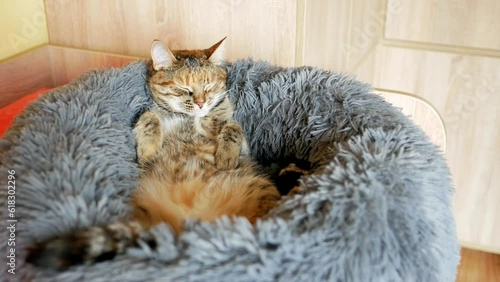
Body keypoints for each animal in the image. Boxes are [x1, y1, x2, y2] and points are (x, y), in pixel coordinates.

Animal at [26, 38, 282, 270]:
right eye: (184, 89)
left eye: (209, 87)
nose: (200, 103)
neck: (193, 120)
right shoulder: (150, 115)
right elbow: (148, 117)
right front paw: (148, 149)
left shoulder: (240, 139)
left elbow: (233, 127)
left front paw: (226, 156)